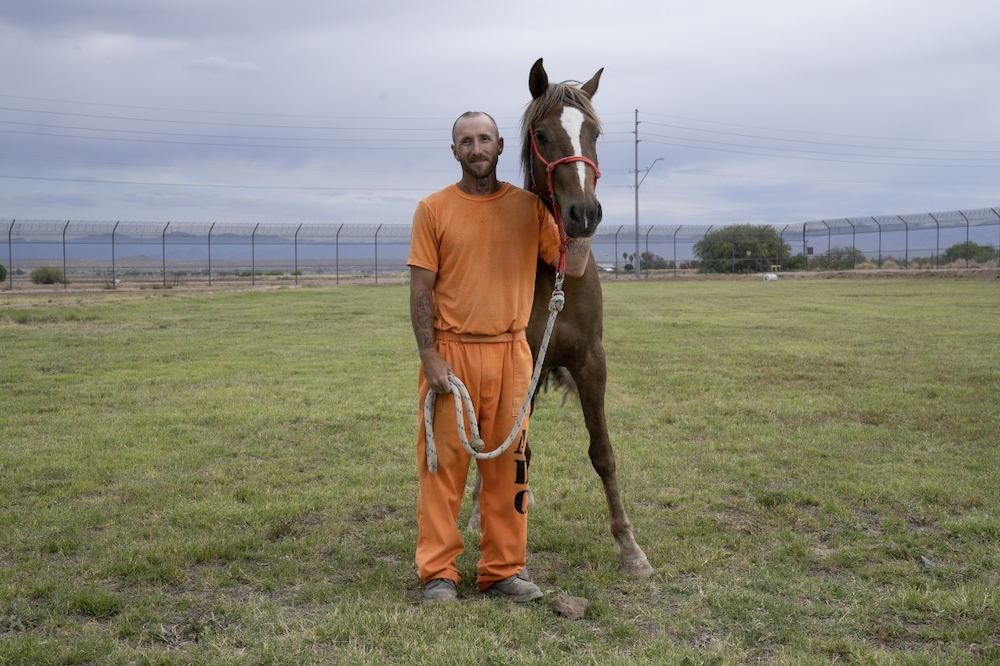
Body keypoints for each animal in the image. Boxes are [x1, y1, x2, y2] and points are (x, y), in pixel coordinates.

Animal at [470, 58, 653, 577]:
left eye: (593, 132)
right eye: (543, 134)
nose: (584, 214)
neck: (557, 276)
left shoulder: (591, 361)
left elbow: (603, 453)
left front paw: (629, 547)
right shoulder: (523, 367)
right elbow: (518, 452)